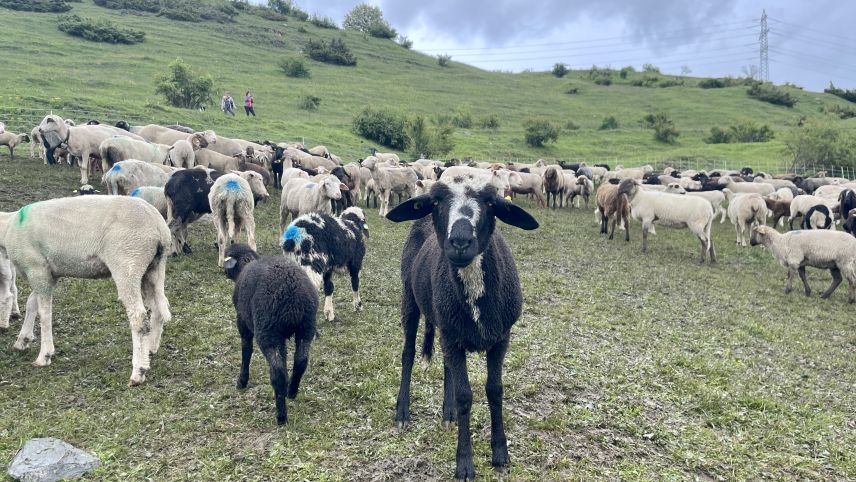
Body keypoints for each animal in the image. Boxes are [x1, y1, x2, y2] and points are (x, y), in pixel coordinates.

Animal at [0, 194, 172, 386]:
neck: (7, 227)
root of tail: (159, 225)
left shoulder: (37, 269)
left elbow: (44, 314)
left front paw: (44, 355)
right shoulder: (49, 273)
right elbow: (32, 304)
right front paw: (22, 340)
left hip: (128, 263)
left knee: (139, 318)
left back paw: (138, 372)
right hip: (152, 269)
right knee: (158, 308)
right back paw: (150, 349)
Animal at [222, 245, 320, 426]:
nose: (224, 272)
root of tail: (292, 295)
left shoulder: (242, 321)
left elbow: (246, 350)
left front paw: (242, 381)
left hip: (268, 331)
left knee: (278, 371)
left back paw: (281, 416)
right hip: (306, 326)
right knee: (301, 361)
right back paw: (291, 392)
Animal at [386, 178, 540, 482]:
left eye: (491, 202)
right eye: (436, 202)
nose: (459, 242)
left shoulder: (499, 338)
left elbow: (495, 390)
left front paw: (500, 455)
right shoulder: (453, 338)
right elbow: (465, 395)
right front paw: (465, 465)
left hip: (446, 325)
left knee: (446, 366)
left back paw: (448, 415)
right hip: (410, 298)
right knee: (408, 353)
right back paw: (403, 413)